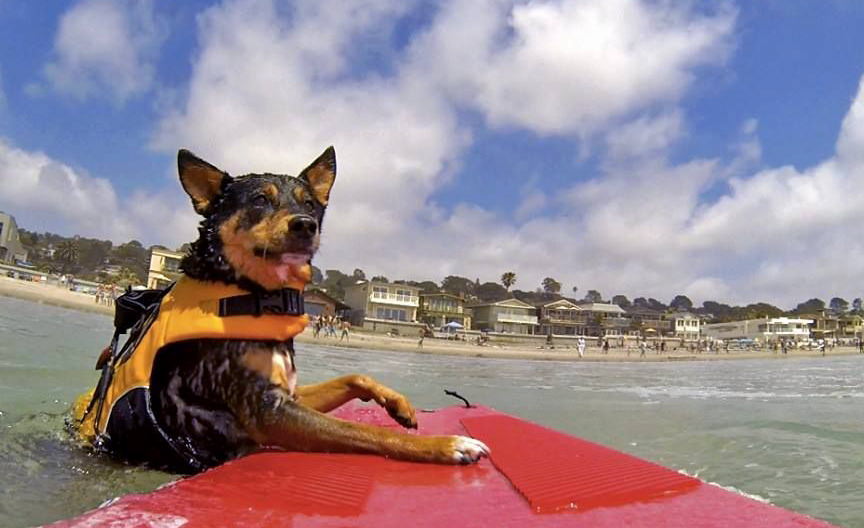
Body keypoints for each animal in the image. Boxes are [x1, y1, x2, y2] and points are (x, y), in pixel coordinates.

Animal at [71, 146, 490, 472]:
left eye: (310, 204)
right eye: (260, 200)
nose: (305, 225)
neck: (252, 291)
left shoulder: (288, 394)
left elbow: (355, 376)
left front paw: (398, 404)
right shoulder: (267, 412)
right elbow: (362, 431)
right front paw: (446, 445)